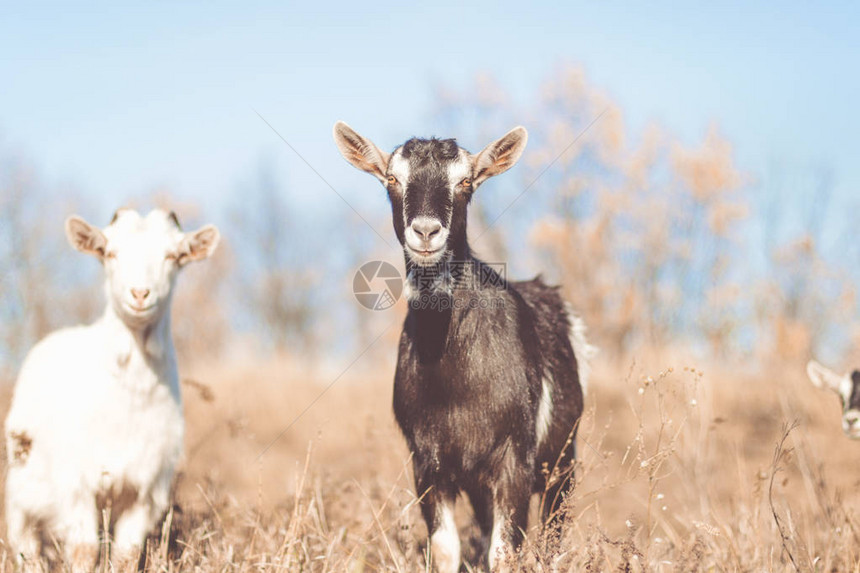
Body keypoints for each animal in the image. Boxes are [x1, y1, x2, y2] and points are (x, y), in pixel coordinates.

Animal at [5, 208, 220, 568]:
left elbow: (127, 554)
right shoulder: (75, 485)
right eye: (110, 253)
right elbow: (84, 549)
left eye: (173, 256)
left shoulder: (146, 491)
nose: (140, 294)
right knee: (24, 543)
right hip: (22, 479)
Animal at [332, 120, 596, 568]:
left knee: (553, 533)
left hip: (562, 459)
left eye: (466, 182)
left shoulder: (513, 460)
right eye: (392, 179)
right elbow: (445, 549)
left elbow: (504, 553)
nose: (425, 231)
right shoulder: (428, 462)